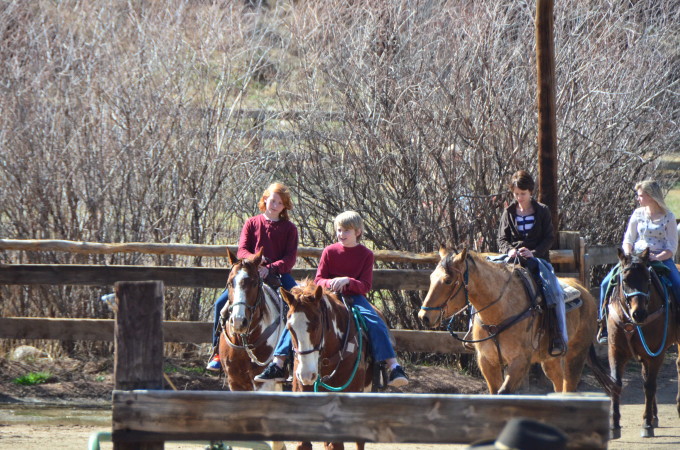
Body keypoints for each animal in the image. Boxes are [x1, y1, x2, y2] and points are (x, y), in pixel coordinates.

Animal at [418, 244, 612, 396]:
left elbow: (504, 393)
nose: (424, 317)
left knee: (569, 385)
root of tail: (584, 291)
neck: (499, 312)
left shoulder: (519, 361)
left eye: (448, 280)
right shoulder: (487, 362)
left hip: (576, 354)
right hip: (551, 359)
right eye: (431, 277)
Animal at [604, 248, 680, 438]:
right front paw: (614, 425)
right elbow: (616, 384)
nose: (638, 313)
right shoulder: (615, 350)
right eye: (625, 280)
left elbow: (649, 386)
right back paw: (655, 416)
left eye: (648, 280)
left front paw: (646, 424)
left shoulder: (656, 353)